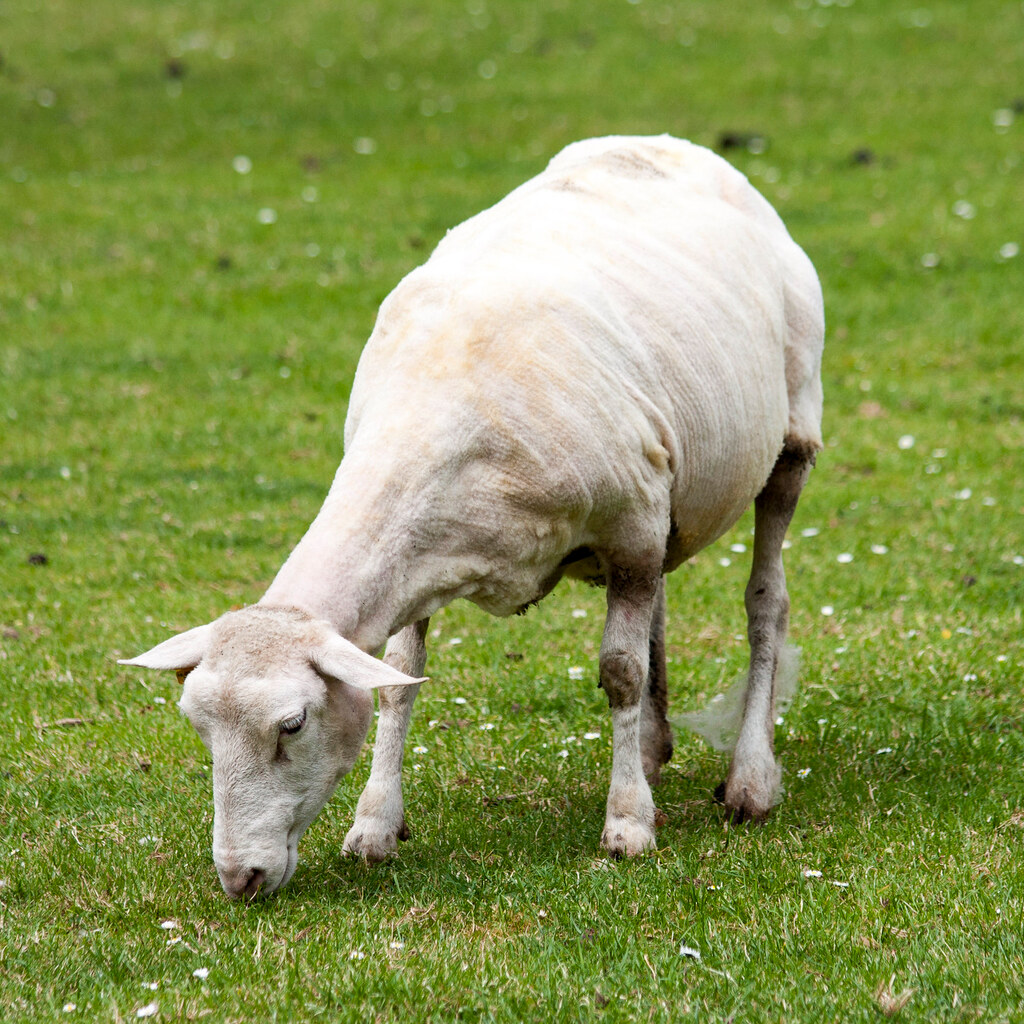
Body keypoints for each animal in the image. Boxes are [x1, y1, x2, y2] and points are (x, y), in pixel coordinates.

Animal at [121, 135, 824, 900]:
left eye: (293, 724)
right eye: (198, 726)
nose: (239, 878)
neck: (435, 402)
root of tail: (667, 144)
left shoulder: (632, 521)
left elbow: (619, 672)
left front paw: (628, 824)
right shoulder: (423, 559)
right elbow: (399, 682)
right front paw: (374, 826)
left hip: (791, 438)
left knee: (766, 600)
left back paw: (750, 778)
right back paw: (649, 747)